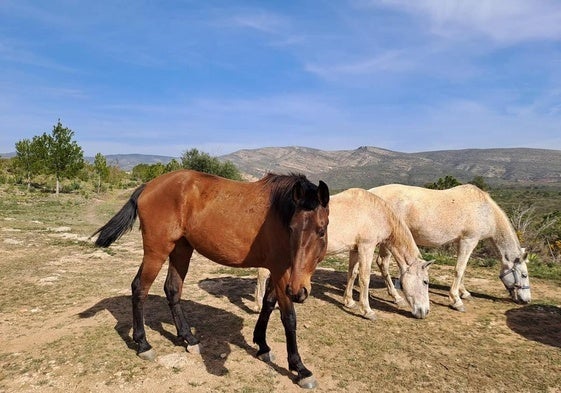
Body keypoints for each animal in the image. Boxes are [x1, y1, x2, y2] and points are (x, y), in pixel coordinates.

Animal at [91, 170, 328, 388]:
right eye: (292, 228)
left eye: (321, 230)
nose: (299, 291)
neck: (279, 211)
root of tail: (149, 185)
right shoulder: (281, 272)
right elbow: (289, 318)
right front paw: (300, 369)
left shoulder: (280, 272)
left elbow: (268, 305)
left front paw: (262, 345)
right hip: (156, 251)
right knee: (140, 288)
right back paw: (143, 345)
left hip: (181, 249)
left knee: (172, 289)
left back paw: (188, 338)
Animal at [256, 188, 430, 320]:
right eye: (425, 282)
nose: (425, 311)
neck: (376, 213)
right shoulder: (367, 247)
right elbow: (364, 278)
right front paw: (367, 311)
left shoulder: (355, 249)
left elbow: (352, 273)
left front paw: (349, 301)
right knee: (263, 273)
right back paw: (258, 305)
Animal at [370, 182, 532, 310]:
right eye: (524, 274)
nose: (526, 300)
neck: (486, 212)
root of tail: (372, 192)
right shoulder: (469, 241)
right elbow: (459, 270)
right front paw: (456, 300)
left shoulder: (460, 242)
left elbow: (463, 270)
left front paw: (464, 293)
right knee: (383, 263)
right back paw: (396, 297)